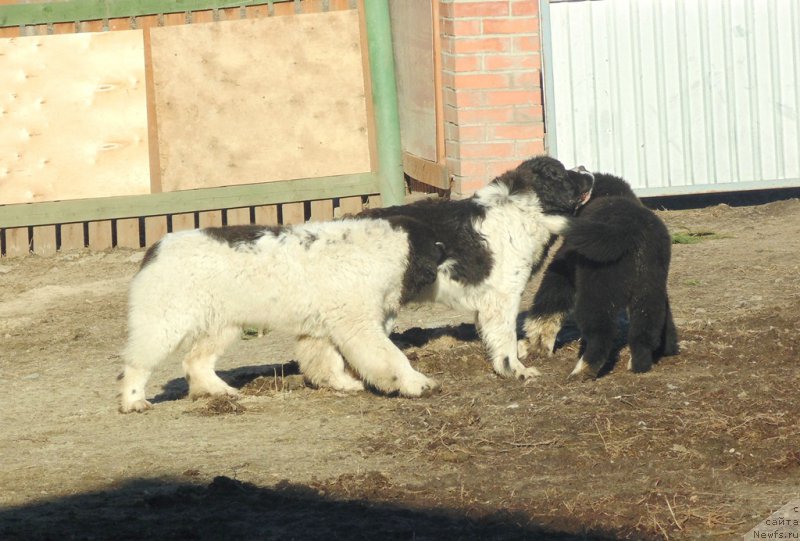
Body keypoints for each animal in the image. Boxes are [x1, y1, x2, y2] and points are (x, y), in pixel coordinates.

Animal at [119, 213, 446, 412]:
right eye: (435, 247)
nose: (446, 260)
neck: (377, 251)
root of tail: (156, 249)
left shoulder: (323, 329)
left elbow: (327, 363)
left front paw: (340, 384)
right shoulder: (359, 326)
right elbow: (392, 357)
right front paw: (417, 383)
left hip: (224, 325)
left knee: (195, 362)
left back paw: (219, 391)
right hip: (165, 323)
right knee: (137, 364)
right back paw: (134, 401)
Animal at [362, 154, 592, 378]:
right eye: (563, 173)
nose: (585, 167)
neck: (524, 209)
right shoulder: (505, 296)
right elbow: (507, 337)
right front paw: (516, 370)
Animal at [520, 168, 680, 376]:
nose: (581, 168)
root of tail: (629, 230)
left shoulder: (565, 263)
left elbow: (549, 302)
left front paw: (535, 344)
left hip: (596, 291)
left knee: (600, 334)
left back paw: (582, 370)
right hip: (649, 288)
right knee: (646, 327)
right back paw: (639, 364)